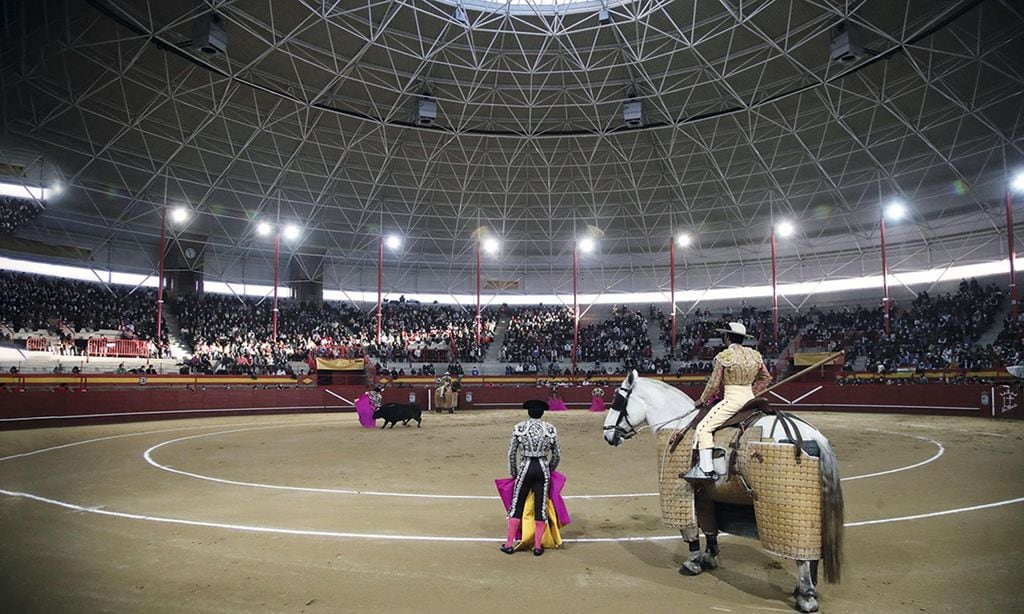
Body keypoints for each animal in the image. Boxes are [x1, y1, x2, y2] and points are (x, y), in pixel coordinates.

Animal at [598, 368, 843, 614]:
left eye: (617, 401)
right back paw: (804, 588)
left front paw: (692, 563)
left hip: (789, 505)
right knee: (810, 550)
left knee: (801, 554)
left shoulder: (684, 493)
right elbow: (710, 528)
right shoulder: (706, 494)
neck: (678, 423)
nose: (607, 435)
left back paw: (806, 598)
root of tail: (814, 436)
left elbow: (690, 531)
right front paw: (709, 558)